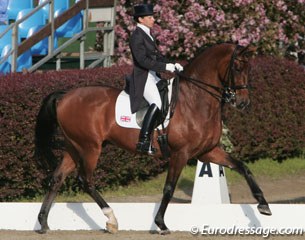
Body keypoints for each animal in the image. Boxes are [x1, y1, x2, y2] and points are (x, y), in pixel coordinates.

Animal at [35, 43, 270, 234]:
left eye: (249, 69)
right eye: (237, 68)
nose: (243, 103)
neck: (195, 100)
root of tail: (65, 96)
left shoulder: (208, 152)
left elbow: (243, 167)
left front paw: (263, 205)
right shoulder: (181, 154)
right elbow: (169, 188)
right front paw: (161, 224)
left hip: (74, 147)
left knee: (57, 178)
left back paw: (43, 223)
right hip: (90, 148)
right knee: (86, 180)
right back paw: (111, 220)